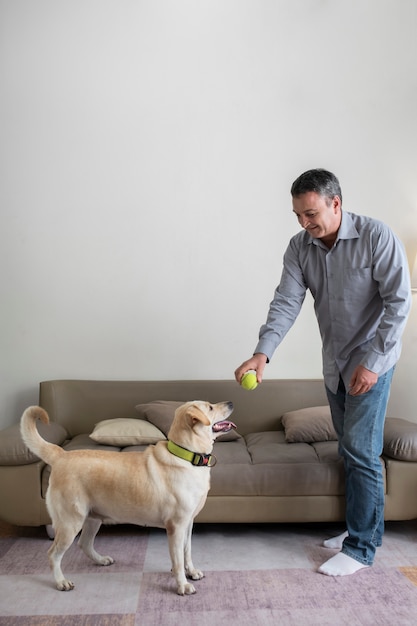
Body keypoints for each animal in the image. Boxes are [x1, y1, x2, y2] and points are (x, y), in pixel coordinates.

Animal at [20, 400, 234, 596]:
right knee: (53, 554)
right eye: (210, 407)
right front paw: (182, 584)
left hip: (92, 518)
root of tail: (61, 455)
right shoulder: (176, 526)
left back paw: (101, 560)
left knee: (84, 544)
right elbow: (178, 559)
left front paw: (191, 571)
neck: (186, 456)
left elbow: (186, 552)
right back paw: (61, 581)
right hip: (70, 522)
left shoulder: (188, 523)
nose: (231, 402)